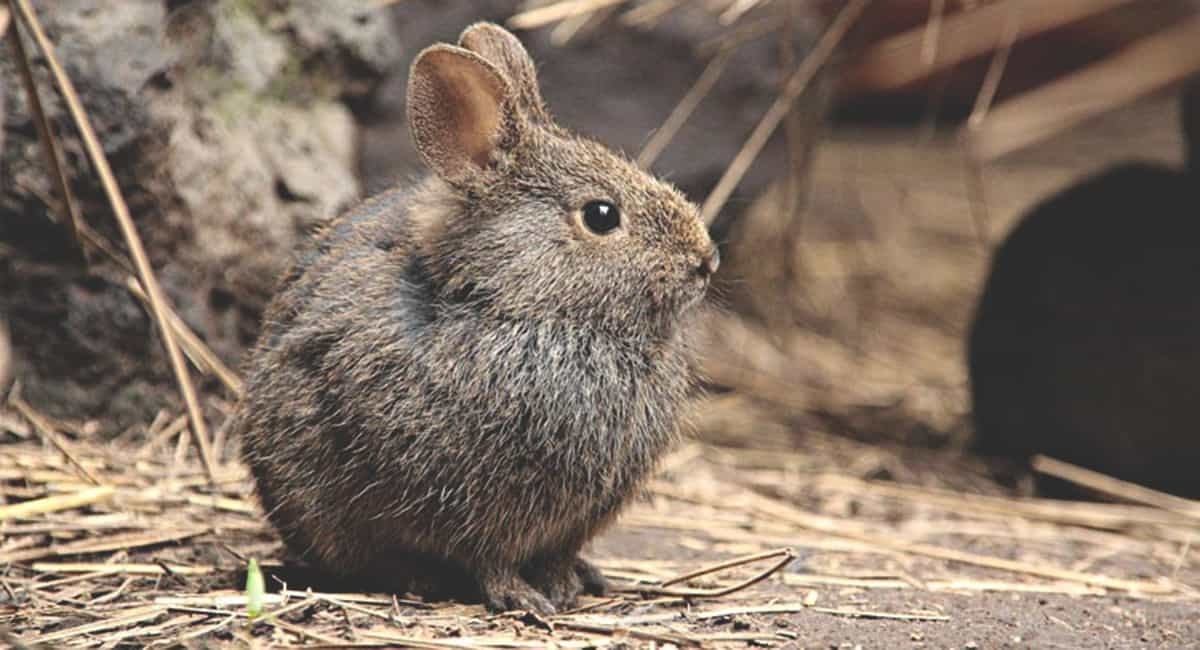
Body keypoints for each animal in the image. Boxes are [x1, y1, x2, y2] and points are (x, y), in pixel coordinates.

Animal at [235, 22, 720, 614]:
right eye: (602, 216)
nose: (705, 260)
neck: (518, 303)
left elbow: (558, 552)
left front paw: (569, 581)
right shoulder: (474, 505)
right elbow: (490, 559)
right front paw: (526, 598)